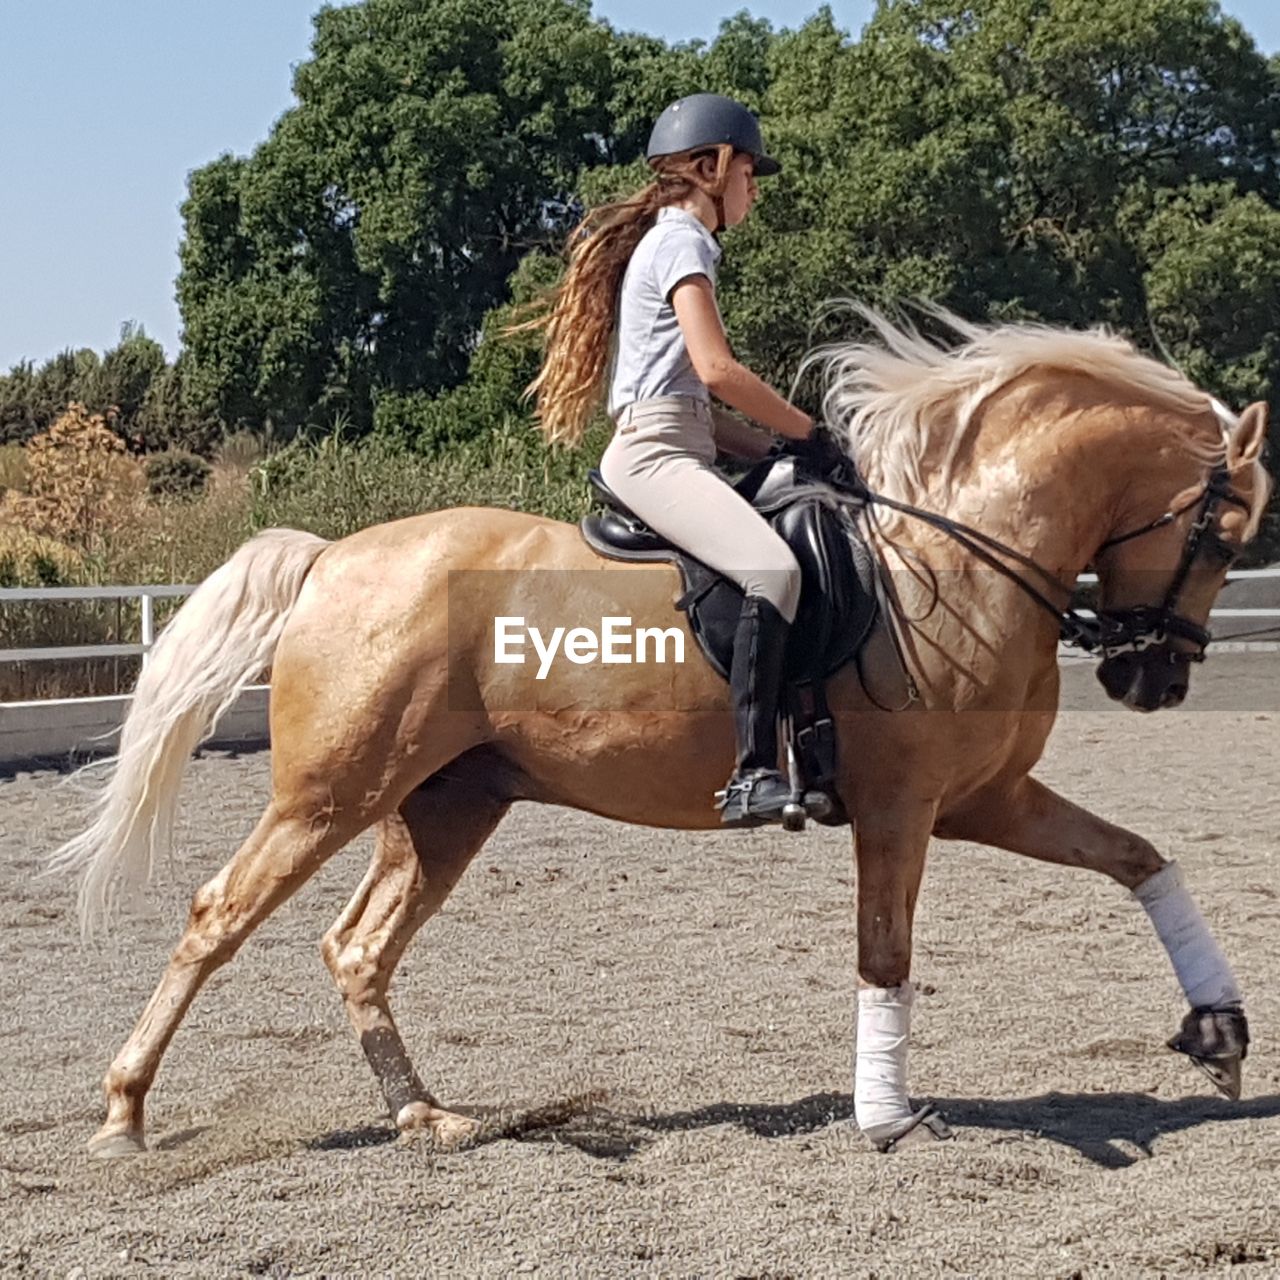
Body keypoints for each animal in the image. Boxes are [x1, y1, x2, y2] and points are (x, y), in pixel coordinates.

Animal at [47, 312, 1269, 1162]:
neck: (958, 553)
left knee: (358, 947)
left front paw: (1217, 1031)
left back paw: (425, 1117)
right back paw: (123, 1113)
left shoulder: (982, 801)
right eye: (1225, 533)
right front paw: (884, 1118)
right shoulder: (901, 808)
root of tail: (334, 556)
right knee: (218, 918)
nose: (1153, 678)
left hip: (443, 805)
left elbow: (1141, 859)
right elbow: (885, 954)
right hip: (328, 796)